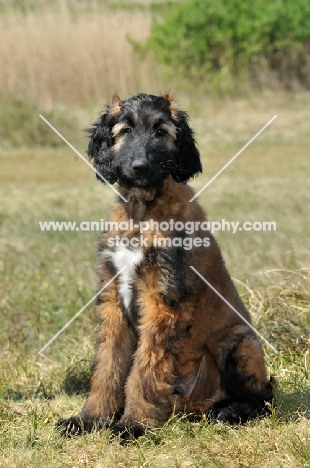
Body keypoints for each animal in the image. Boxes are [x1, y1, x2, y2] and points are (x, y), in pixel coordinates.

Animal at [57, 92, 272, 438]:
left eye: (161, 132)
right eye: (126, 130)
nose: (140, 167)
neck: (141, 211)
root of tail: (190, 407)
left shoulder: (163, 300)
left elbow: (146, 368)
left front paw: (133, 424)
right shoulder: (113, 301)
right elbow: (108, 366)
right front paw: (90, 419)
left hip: (237, 342)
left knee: (263, 397)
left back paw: (229, 411)